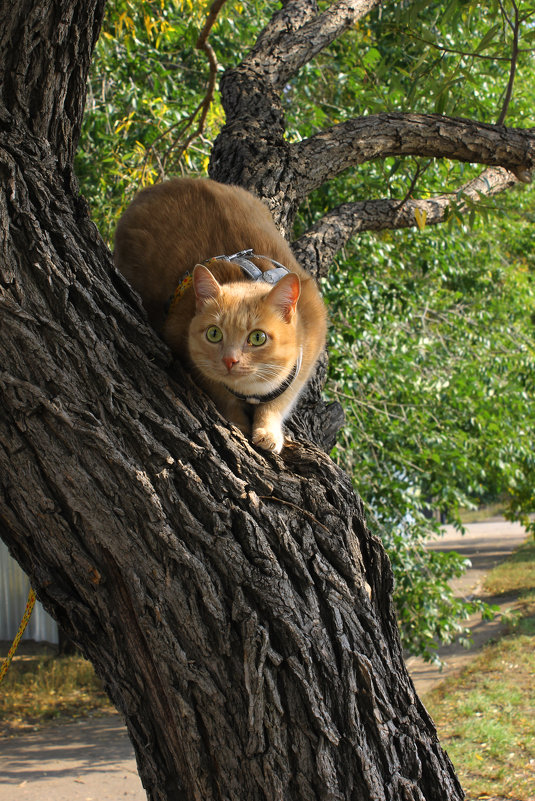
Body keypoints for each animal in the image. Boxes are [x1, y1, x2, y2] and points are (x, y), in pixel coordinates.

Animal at [114, 179, 326, 454]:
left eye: (257, 338)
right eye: (214, 334)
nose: (229, 360)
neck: (251, 390)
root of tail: (157, 187)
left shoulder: (306, 359)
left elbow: (278, 404)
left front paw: (268, 431)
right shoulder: (187, 352)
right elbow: (223, 396)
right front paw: (239, 422)